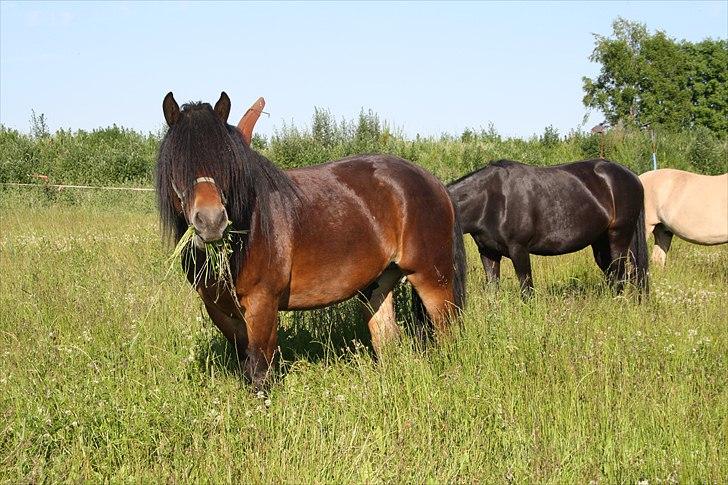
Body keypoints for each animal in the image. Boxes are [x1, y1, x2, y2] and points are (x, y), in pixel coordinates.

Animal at [156, 91, 466, 390]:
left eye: (227, 162)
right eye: (176, 166)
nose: (211, 221)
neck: (250, 227)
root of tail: (432, 181)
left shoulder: (262, 303)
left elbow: (260, 370)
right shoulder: (220, 310)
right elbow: (245, 363)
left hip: (431, 278)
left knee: (447, 331)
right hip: (378, 284)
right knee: (387, 339)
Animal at [450, 159, 648, 296]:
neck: (491, 200)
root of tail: (632, 176)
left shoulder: (519, 250)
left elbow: (527, 291)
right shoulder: (488, 253)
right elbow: (493, 291)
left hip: (619, 237)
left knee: (622, 275)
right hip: (602, 242)